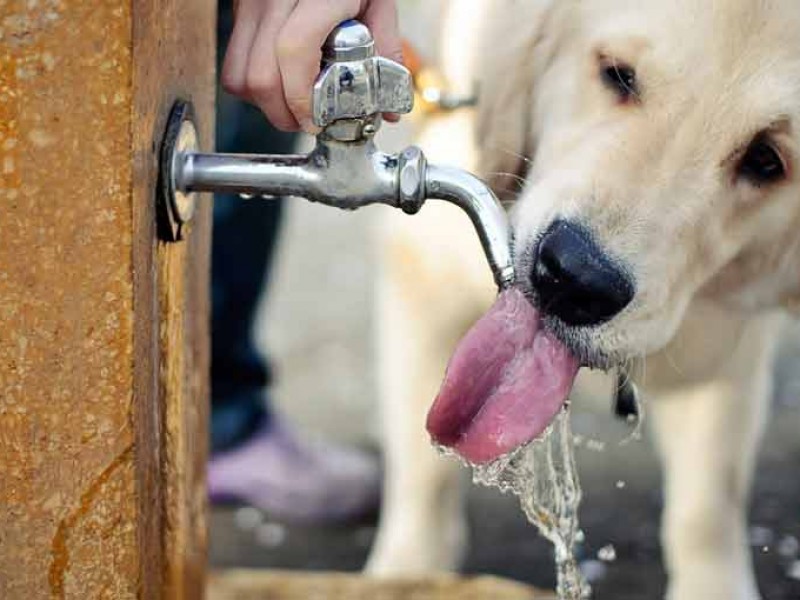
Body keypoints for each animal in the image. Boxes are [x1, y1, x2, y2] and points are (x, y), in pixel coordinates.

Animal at [368, 2, 800, 596]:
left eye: (766, 159)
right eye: (618, 75)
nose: (574, 280)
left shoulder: (724, 343)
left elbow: (707, 504)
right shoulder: (426, 270)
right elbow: (422, 473)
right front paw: (406, 573)